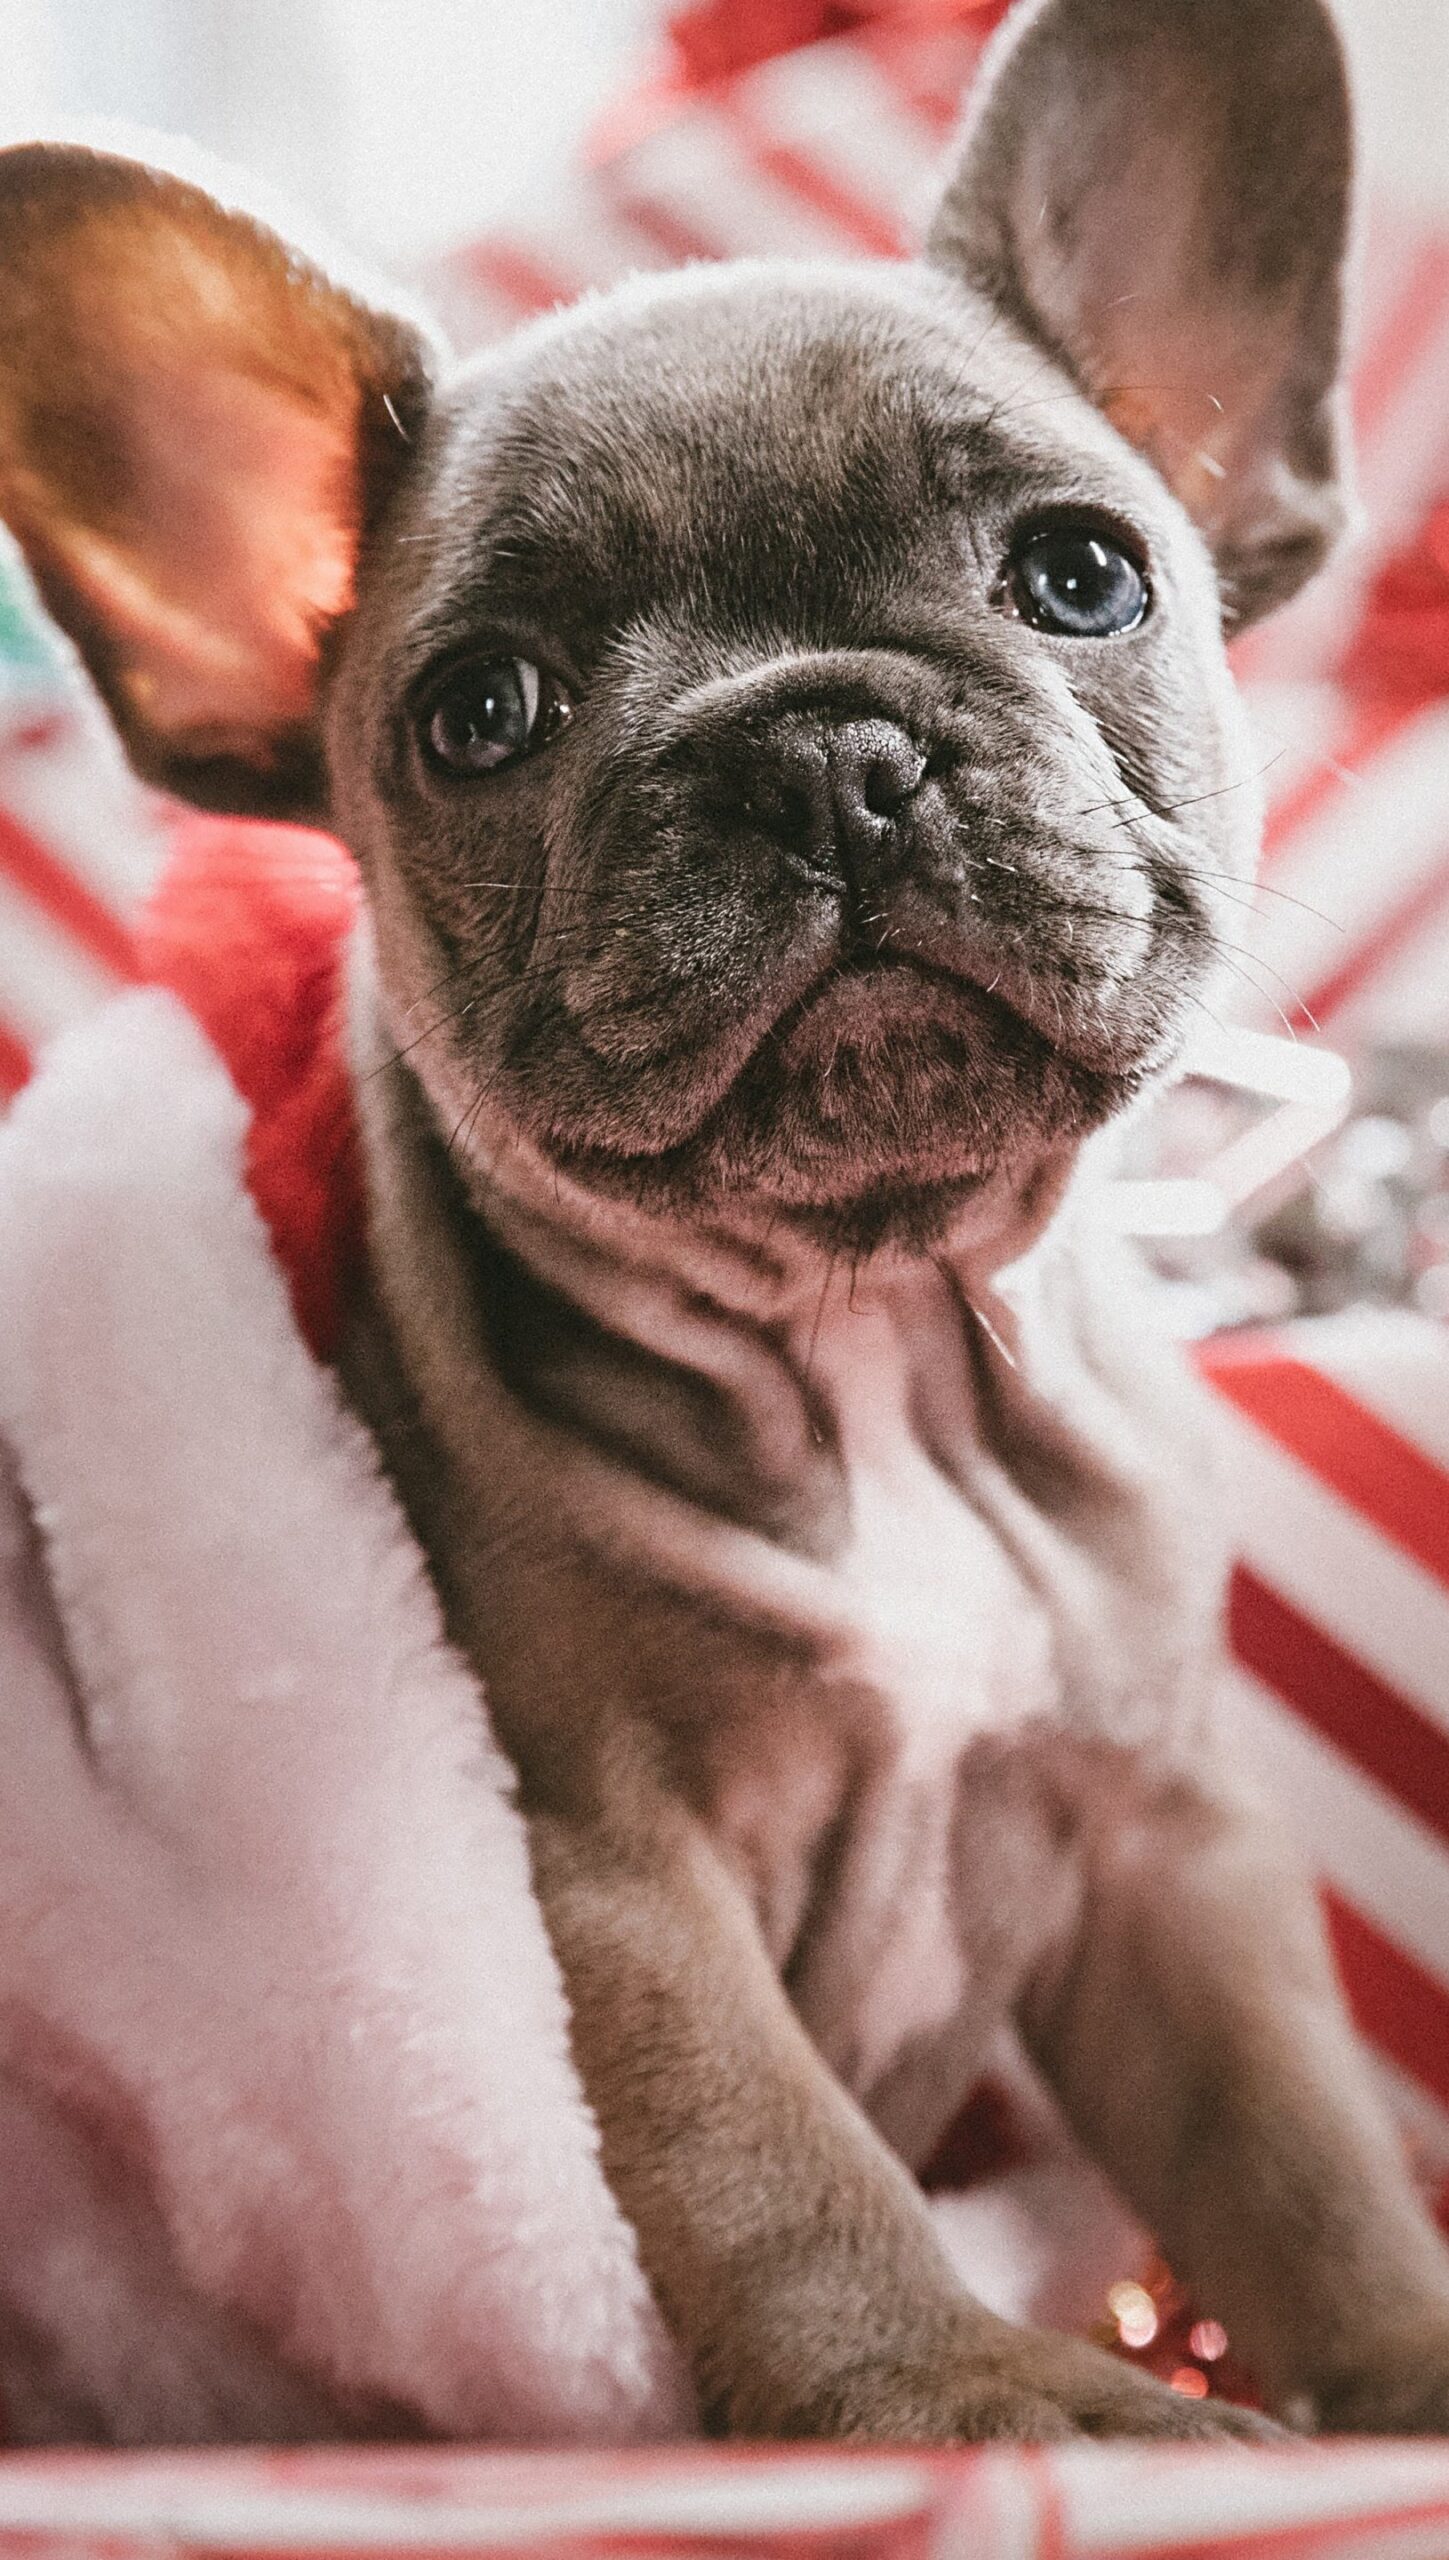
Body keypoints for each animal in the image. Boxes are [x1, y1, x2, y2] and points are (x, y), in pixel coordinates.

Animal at [8, 0, 1449, 2447]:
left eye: (1081, 575)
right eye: (478, 711)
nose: (814, 751)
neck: (874, 1337)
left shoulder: (1161, 1840)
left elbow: (1304, 2153)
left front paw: (1400, 2374)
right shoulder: (602, 1877)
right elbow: (771, 2164)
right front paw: (982, 2398)